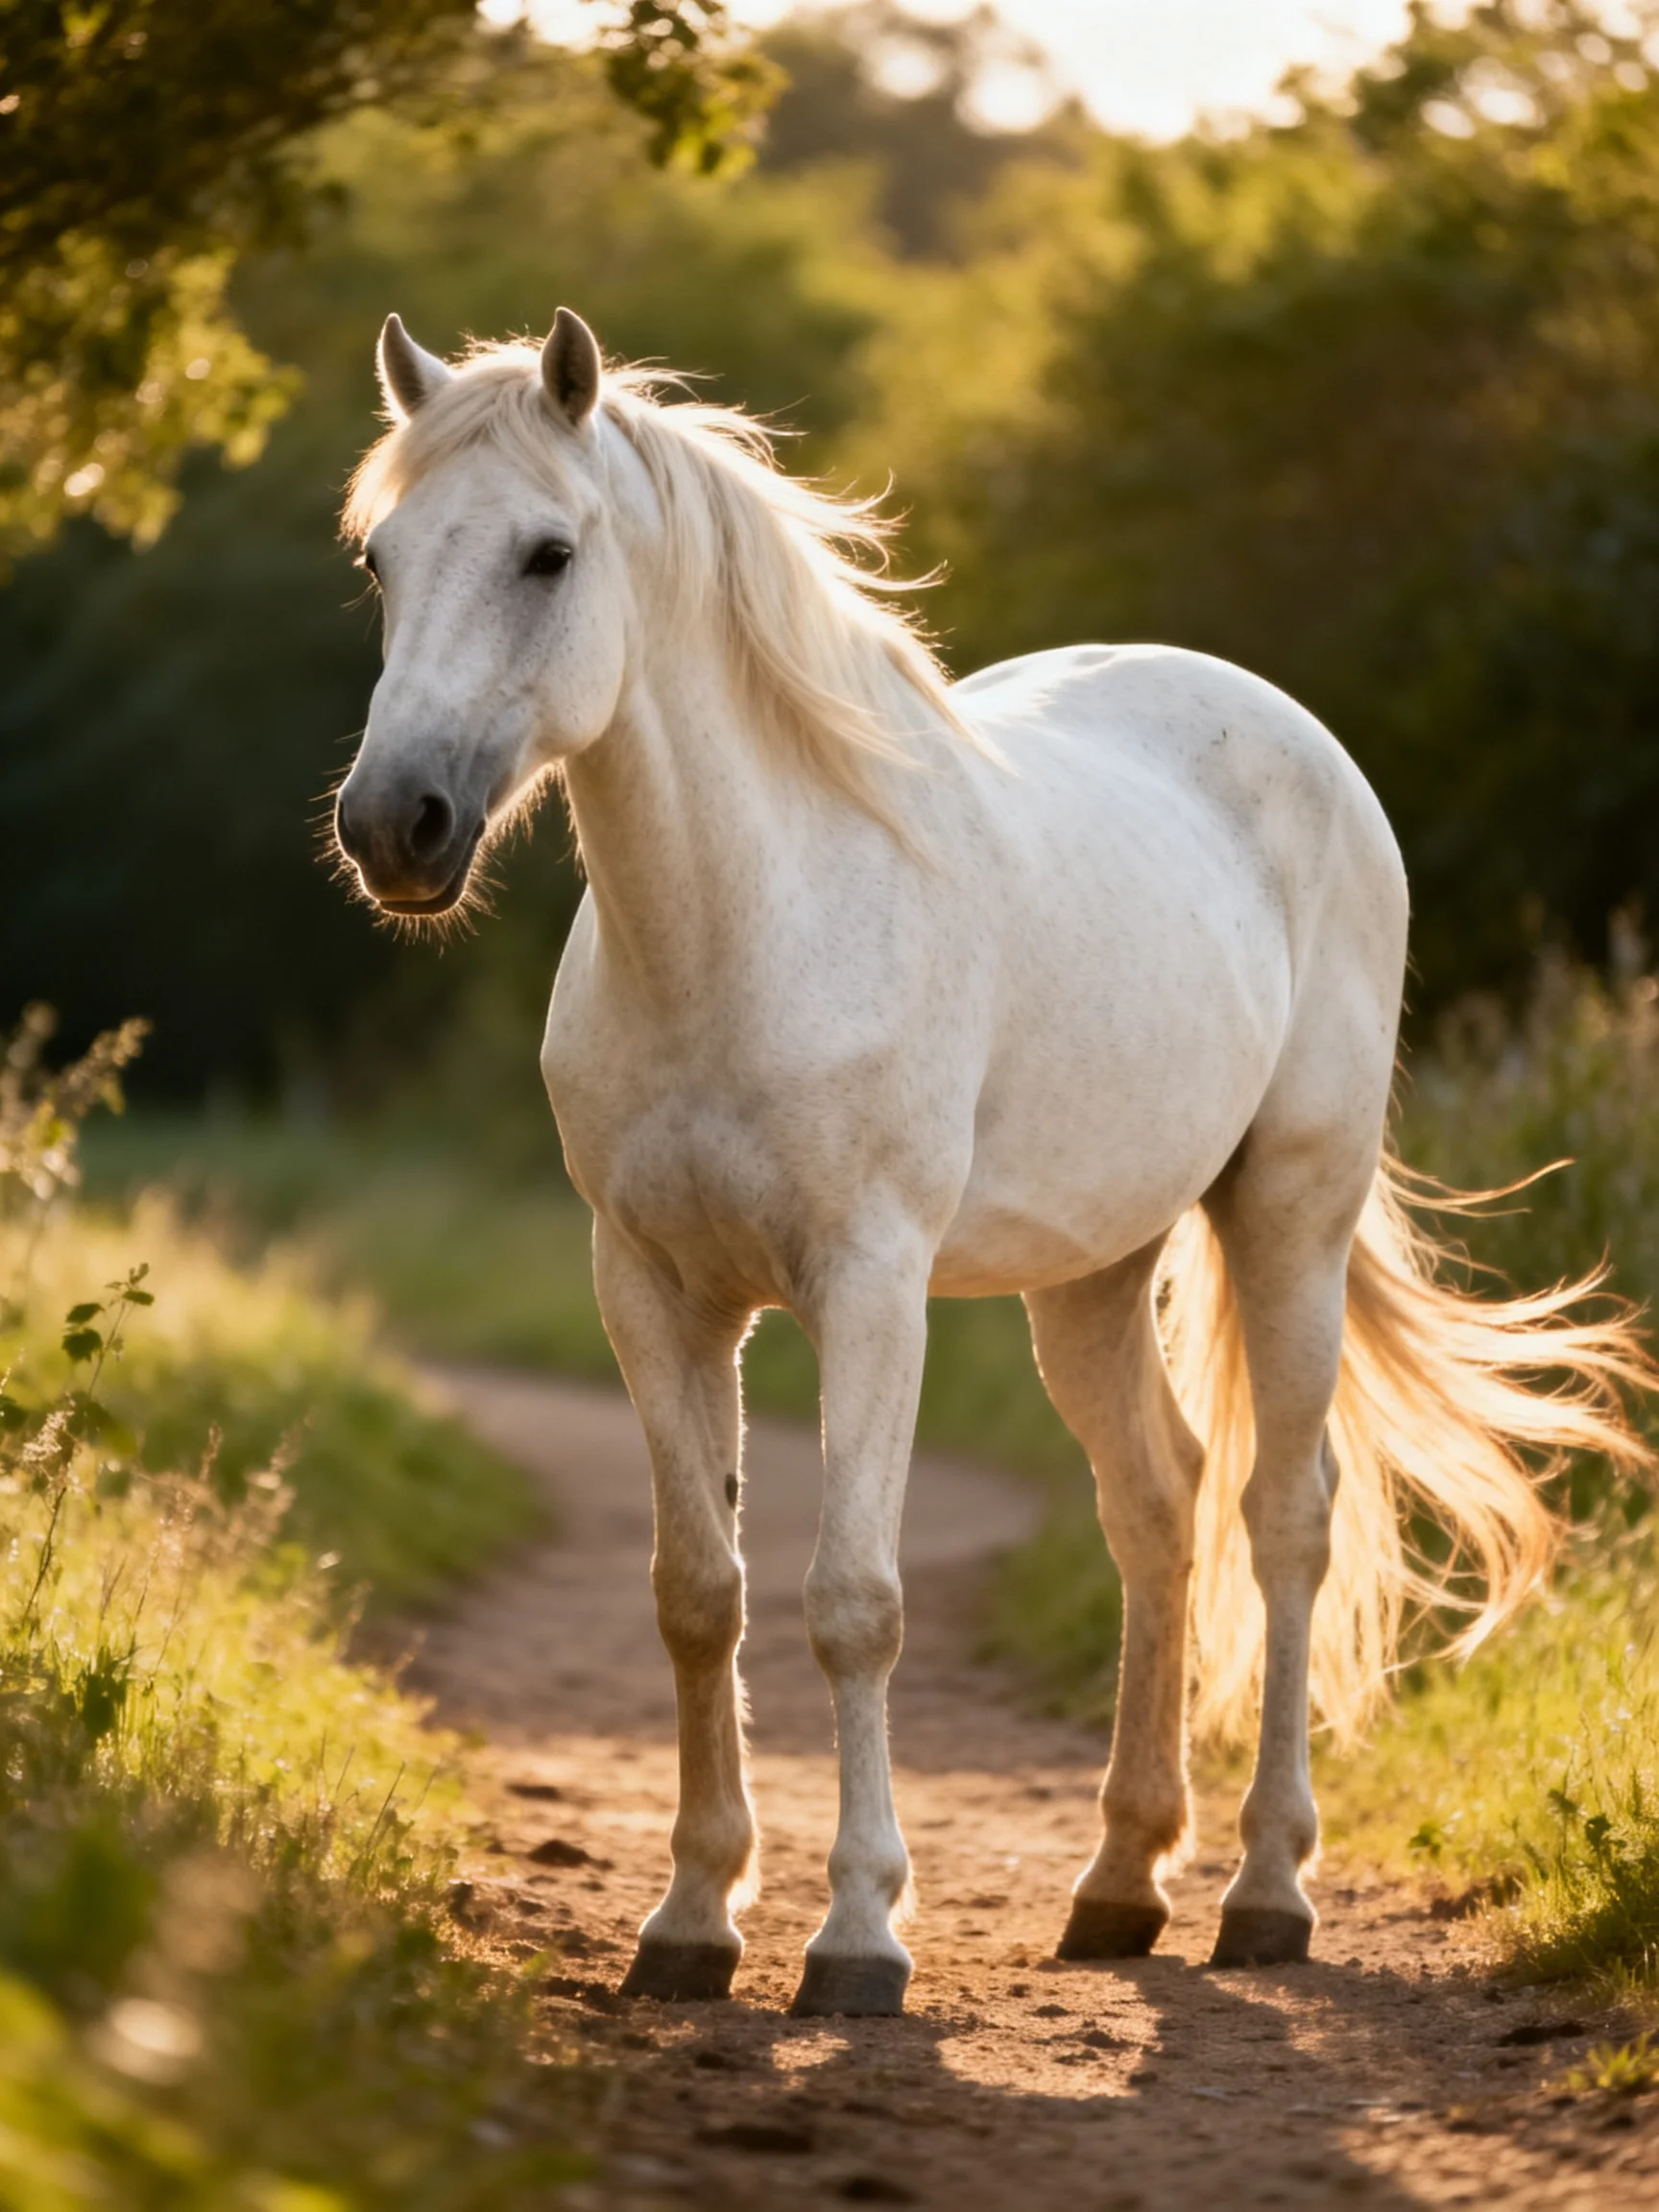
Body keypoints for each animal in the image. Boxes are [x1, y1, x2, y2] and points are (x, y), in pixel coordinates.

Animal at [333, 306, 1651, 2016]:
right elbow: (699, 1596)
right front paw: (689, 1921)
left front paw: (856, 1937)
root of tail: (1296, 736)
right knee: (1158, 1504)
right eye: (381, 558)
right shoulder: (655, 1292)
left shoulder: (869, 1288)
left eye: (548, 554)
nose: (395, 827)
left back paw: (1265, 1893)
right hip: (1093, 1274)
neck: (747, 928)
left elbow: (853, 1603)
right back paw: (1119, 1886)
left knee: (1286, 1515)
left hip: (1289, 1212)